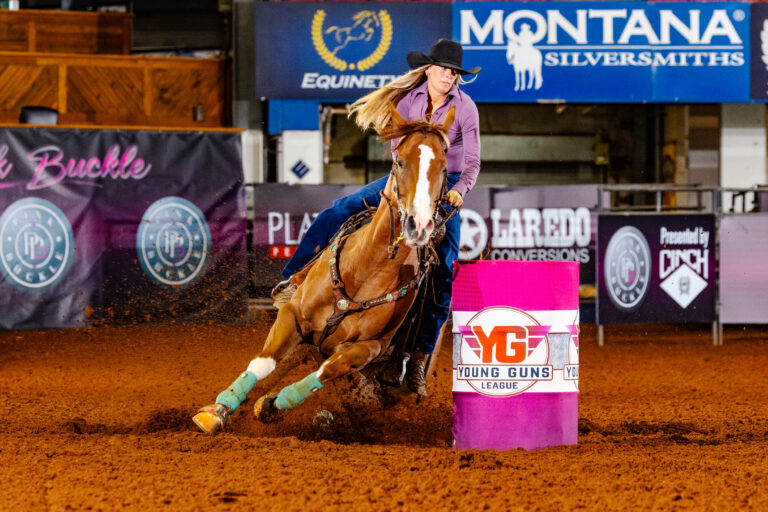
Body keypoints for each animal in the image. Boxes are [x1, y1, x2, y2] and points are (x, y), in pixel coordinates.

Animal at [193, 104, 456, 434]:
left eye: (445, 169)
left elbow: (327, 370)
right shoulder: (292, 316)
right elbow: (264, 362)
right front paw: (218, 411)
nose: (418, 225)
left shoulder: (368, 348)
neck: (365, 273)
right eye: (399, 161)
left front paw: (273, 404)